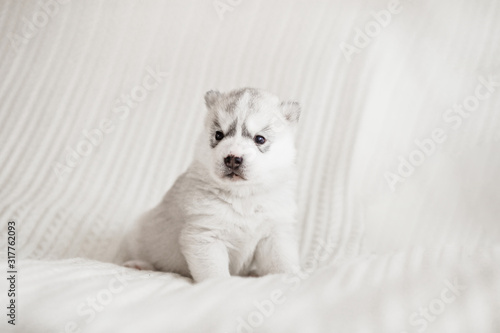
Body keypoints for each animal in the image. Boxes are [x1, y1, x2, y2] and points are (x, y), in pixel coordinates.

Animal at [123, 87, 300, 282]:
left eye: (260, 139)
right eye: (218, 135)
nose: (233, 159)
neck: (242, 195)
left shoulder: (275, 234)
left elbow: (282, 262)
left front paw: (291, 278)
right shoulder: (205, 234)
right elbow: (214, 274)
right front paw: (218, 285)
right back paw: (139, 264)